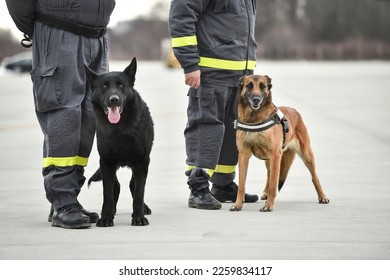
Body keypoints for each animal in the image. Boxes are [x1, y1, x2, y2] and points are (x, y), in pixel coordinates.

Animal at [85, 58, 154, 226]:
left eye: (121, 85)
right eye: (104, 86)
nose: (114, 100)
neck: (120, 129)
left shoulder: (142, 162)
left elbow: (139, 192)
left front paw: (138, 217)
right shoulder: (107, 162)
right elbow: (108, 193)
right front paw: (106, 217)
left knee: (133, 185)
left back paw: (143, 209)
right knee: (116, 186)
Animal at [230, 75, 328, 212]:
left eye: (262, 86)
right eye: (249, 85)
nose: (256, 99)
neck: (254, 119)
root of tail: (294, 110)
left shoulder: (275, 156)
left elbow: (273, 184)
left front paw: (269, 205)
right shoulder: (244, 155)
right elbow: (242, 184)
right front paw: (238, 204)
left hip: (306, 155)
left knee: (314, 177)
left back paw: (322, 197)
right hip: (269, 160)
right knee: (269, 174)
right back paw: (265, 193)